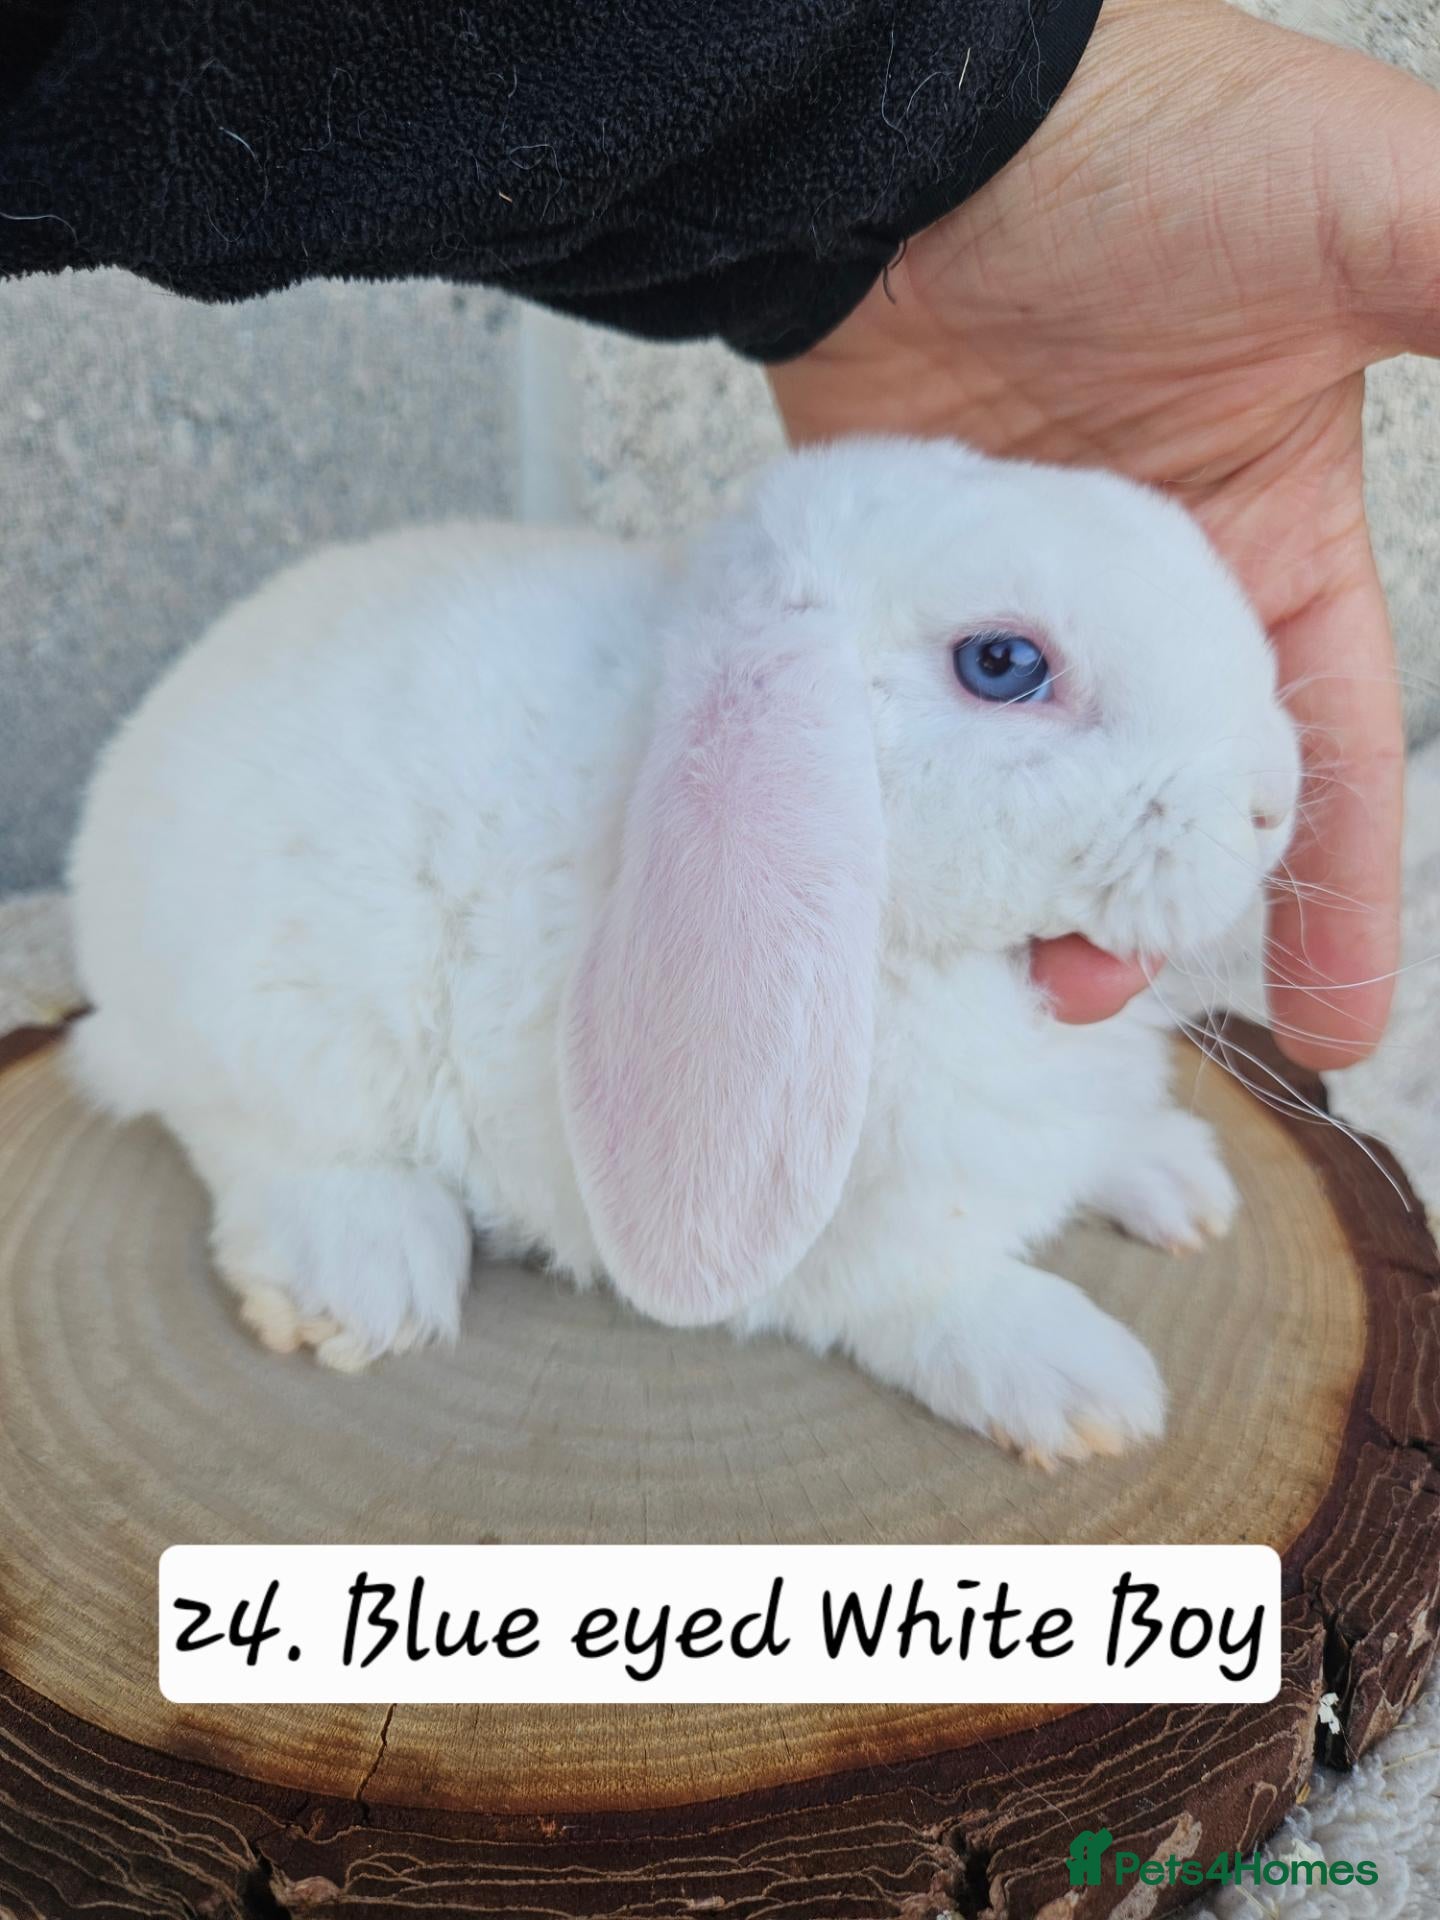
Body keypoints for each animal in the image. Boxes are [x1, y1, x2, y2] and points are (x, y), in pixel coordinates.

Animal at [67, 436, 1300, 1466]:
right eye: (1002, 663)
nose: (1272, 803)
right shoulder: (834, 1235)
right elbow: (919, 1294)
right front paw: (1081, 1385)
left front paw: (1175, 1179)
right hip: (282, 1021)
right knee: (253, 1141)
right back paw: (362, 1279)